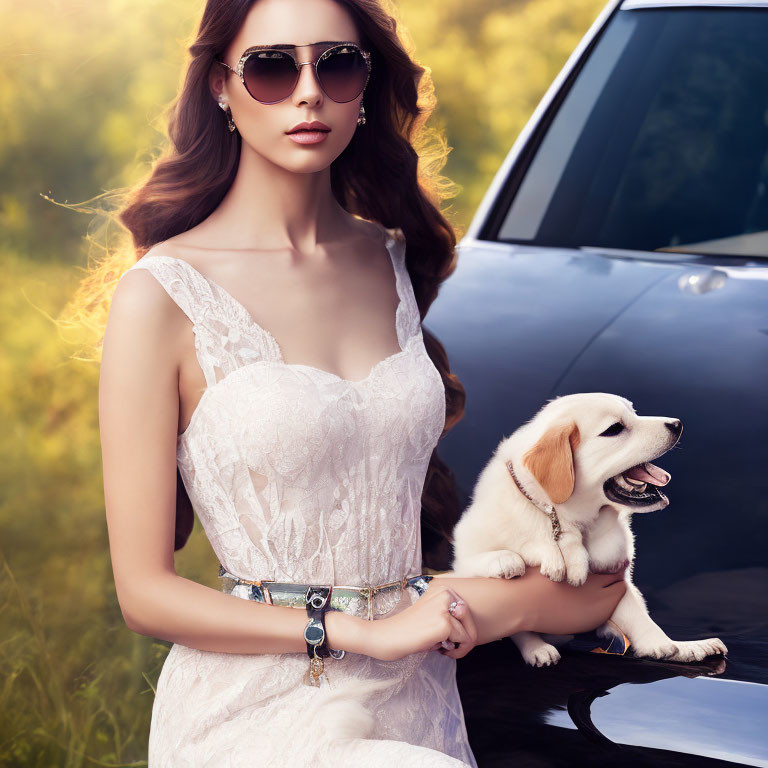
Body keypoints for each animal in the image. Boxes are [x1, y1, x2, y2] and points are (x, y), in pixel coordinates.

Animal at [450, 396, 728, 664]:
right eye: (615, 429)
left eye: (634, 412)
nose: (677, 424)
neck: (561, 519)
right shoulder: (464, 559)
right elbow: (487, 562)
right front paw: (507, 560)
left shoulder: (618, 581)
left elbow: (641, 619)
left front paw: (673, 647)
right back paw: (538, 649)